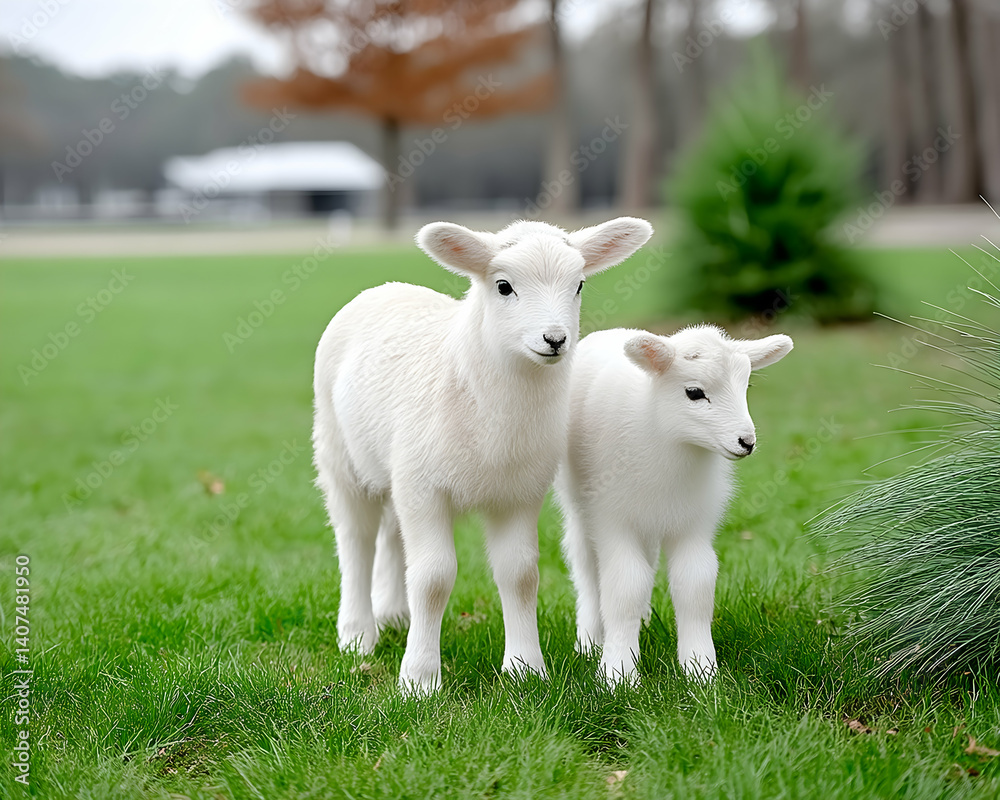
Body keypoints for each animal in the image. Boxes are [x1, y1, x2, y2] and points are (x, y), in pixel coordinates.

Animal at [312, 217, 654, 694]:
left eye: (580, 284)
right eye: (504, 286)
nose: (555, 339)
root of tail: (385, 287)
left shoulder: (519, 492)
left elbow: (520, 575)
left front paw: (526, 669)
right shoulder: (425, 488)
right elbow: (433, 578)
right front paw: (420, 680)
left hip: (397, 469)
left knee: (390, 533)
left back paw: (394, 614)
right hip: (338, 453)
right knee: (355, 540)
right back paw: (358, 633)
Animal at [554, 325, 793, 686]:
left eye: (746, 387)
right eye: (694, 392)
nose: (746, 442)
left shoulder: (693, 523)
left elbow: (695, 583)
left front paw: (700, 670)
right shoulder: (613, 521)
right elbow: (624, 585)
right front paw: (618, 674)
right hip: (581, 507)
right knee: (586, 567)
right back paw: (590, 640)